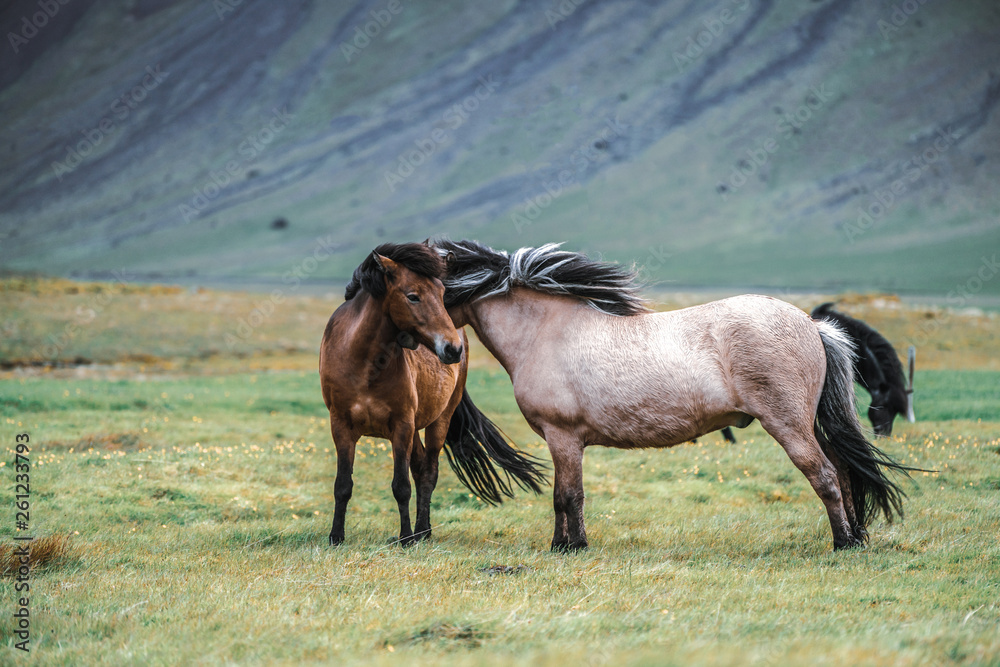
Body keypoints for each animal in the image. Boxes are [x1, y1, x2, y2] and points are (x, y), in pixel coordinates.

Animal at [320, 243, 544, 544]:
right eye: (413, 296)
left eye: (441, 293)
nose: (452, 349)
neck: (363, 363)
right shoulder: (341, 425)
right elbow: (343, 484)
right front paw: (336, 537)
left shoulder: (401, 425)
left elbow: (401, 485)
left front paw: (405, 538)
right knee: (419, 468)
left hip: (439, 420)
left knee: (428, 472)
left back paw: (422, 532)